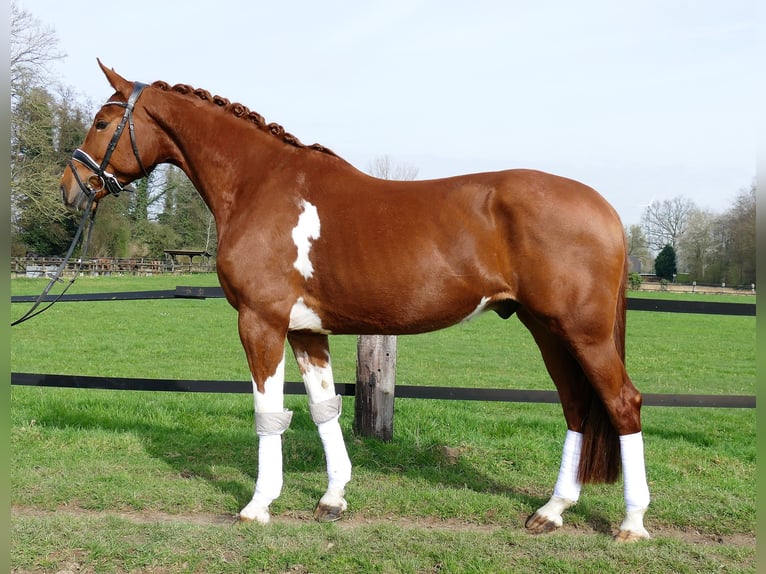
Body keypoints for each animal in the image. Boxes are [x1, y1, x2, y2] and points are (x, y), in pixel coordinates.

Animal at [60, 63, 652, 544]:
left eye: (103, 122)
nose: (71, 186)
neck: (259, 186)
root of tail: (605, 208)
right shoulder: (305, 330)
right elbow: (324, 408)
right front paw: (332, 499)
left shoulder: (261, 323)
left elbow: (268, 413)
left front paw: (257, 505)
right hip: (547, 328)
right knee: (577, 405)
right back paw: (551, 511)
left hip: (582, 331)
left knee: (622, 403)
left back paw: (631, 523)